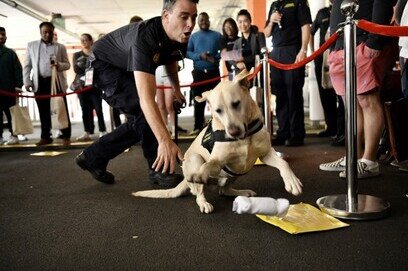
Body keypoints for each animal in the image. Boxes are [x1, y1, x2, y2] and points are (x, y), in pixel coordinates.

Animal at [132, 69, 302, 214]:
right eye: (218, 111)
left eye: (236, 103)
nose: (233, 132)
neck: (244, 138)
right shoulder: (217, 161)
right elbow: (207, 165)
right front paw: (201, 174)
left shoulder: (266, 154)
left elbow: (283, 163)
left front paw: (292, 181)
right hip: (195, 159)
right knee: (199, 192)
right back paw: (204, 200)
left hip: (236, 173)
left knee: (224, 190)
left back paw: (239, 191)